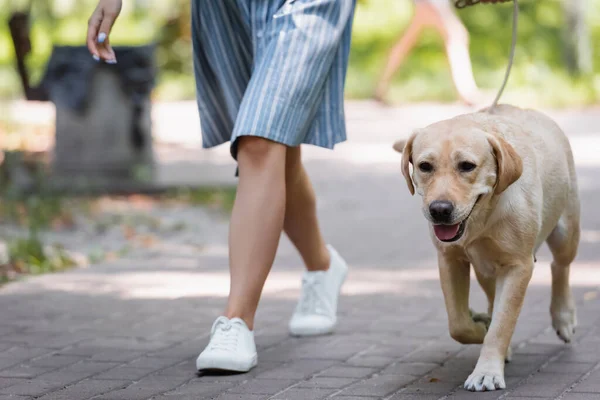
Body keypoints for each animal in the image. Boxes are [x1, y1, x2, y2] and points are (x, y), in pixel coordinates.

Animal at [396, 104, 580, 392]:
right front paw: (479, 326)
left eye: (467, 166)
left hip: (566, 232)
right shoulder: (449, 259)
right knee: (494, 295)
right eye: (425, 166)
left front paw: (487, 371)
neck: (480, 219)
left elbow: (502, 324)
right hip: (485, 268)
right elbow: (458, 323)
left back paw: (563, 316)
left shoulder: (518, 265)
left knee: (560, 266)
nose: (439, 210)